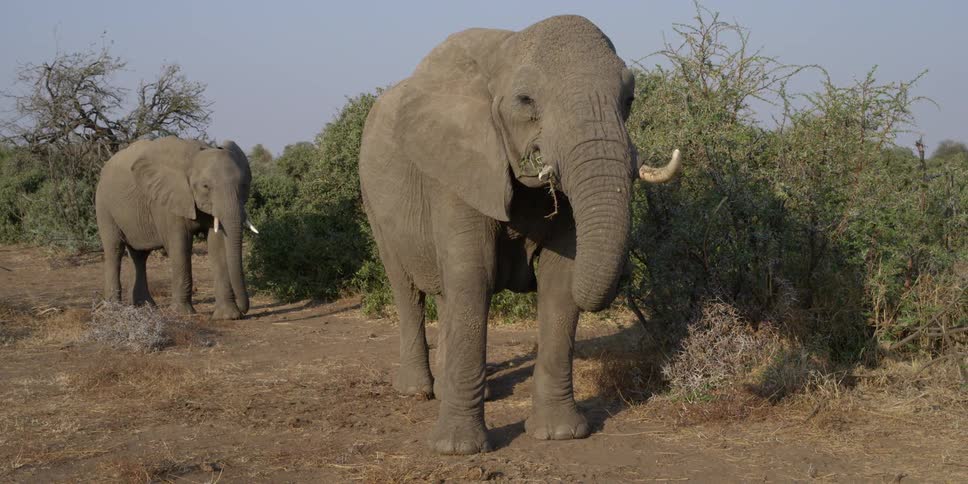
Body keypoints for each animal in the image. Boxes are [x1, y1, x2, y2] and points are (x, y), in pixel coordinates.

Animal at [95, 136, 258, 320]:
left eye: (243, 185)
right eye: (205, 186)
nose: (244, 309)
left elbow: (218, 246)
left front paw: (227, 316)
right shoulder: (167, 201)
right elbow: (180, 247)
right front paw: (182, 313)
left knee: (139, 256)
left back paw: (145, 307)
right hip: (103, 205)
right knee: (114, 249)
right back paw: (113, 310)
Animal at [358, 15, 681, 454]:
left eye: (629, 99)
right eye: (526, 101)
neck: (506, 50)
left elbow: (561, 280)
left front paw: (560, 434)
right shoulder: (459, 164)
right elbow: (473, 274)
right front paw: (458, 449)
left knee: (446, 291)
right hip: (374, 201)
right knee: (407, 288)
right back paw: (416, 391)